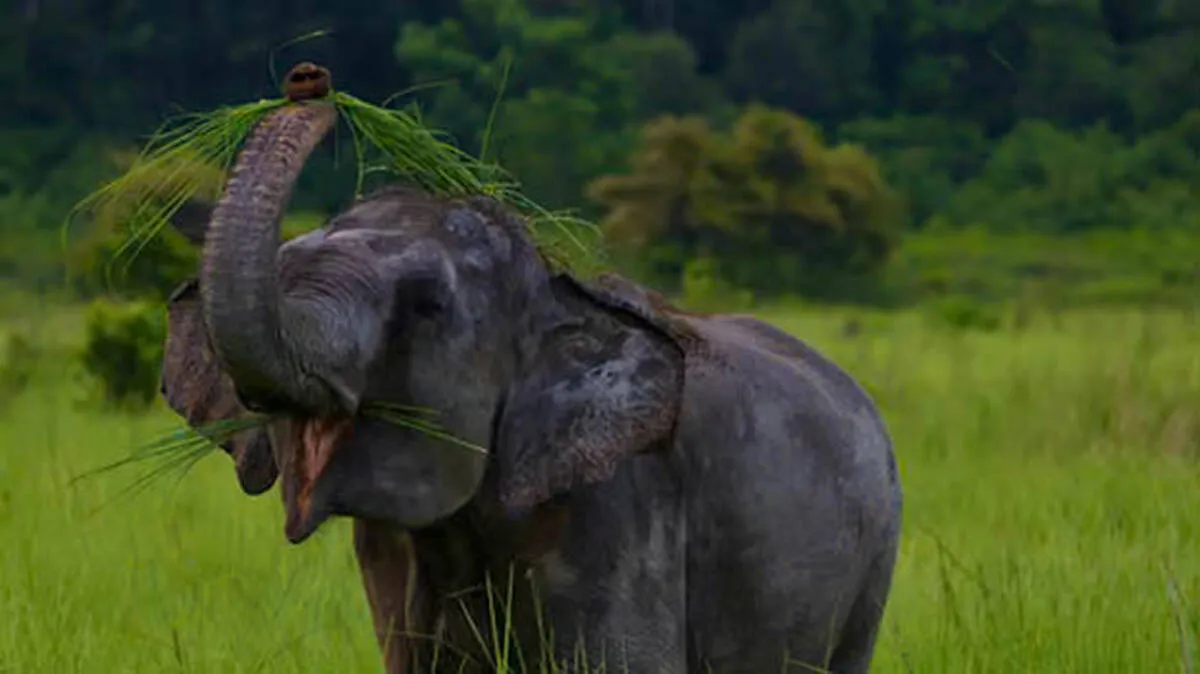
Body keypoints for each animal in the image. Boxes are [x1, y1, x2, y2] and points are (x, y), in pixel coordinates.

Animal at [157, 99, 903, 673]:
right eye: (286, 267)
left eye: (427, 306)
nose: (310, 80)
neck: (554, 289)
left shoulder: (621, 509)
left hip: (872, 566)